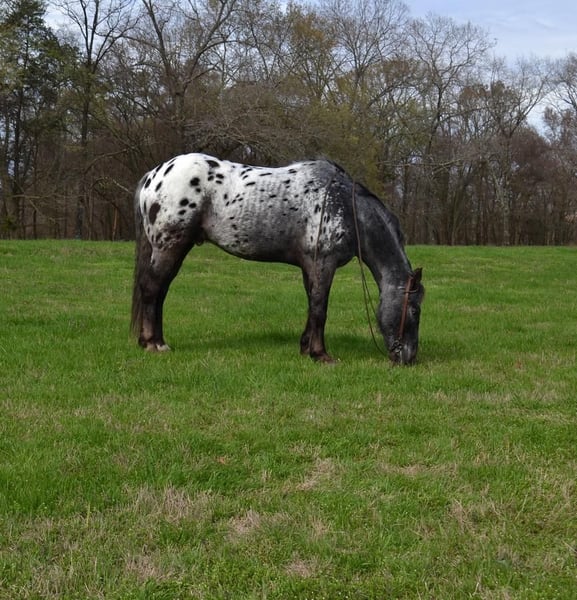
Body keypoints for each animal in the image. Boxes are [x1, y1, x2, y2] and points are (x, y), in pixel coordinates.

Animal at [130, 152, 424, 364]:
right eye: (414, 309)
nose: (408, 357)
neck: (344, 205)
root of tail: (153, 176)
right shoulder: (323, 264)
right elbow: (320, 307)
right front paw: (320, 354)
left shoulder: (310, 267)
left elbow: (311, 304)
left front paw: (305, 347)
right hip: (170, 246)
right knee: (152, 288)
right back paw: (154, 343)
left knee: (159, 292)